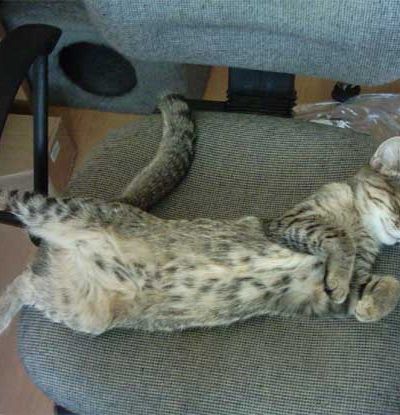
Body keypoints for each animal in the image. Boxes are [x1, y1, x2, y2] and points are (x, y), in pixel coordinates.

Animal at [0, 95, 399, 335]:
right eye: (398, 203)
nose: (398, 228)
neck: (361, 225)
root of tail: (123, 203)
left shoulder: (320, 295)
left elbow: (375, 289)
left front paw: (372, 299)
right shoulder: (291, 222)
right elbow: (336, 237)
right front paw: (343, 270)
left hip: (78, 309)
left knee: (24, 282)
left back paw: (2, 312)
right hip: (54, 208)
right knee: (13, 202)